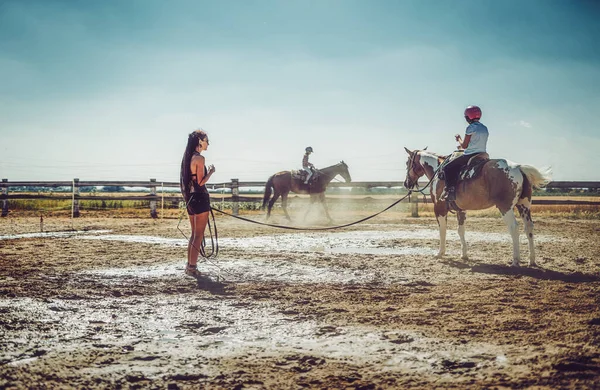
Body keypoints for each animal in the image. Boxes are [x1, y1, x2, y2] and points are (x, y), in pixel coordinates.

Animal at [404, 148, 548, 266]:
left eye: (407, 163)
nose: (406, 183)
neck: (438, 170)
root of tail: (519, 168)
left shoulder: (439, 208)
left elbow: (442, 230)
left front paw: (440, 253)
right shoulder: (461, 210)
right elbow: (460, 230)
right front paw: (464, 255)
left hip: (505, 207)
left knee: (514, 228)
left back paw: (515, 260)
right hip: (524, 206)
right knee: (528, 228)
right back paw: (532, 260)